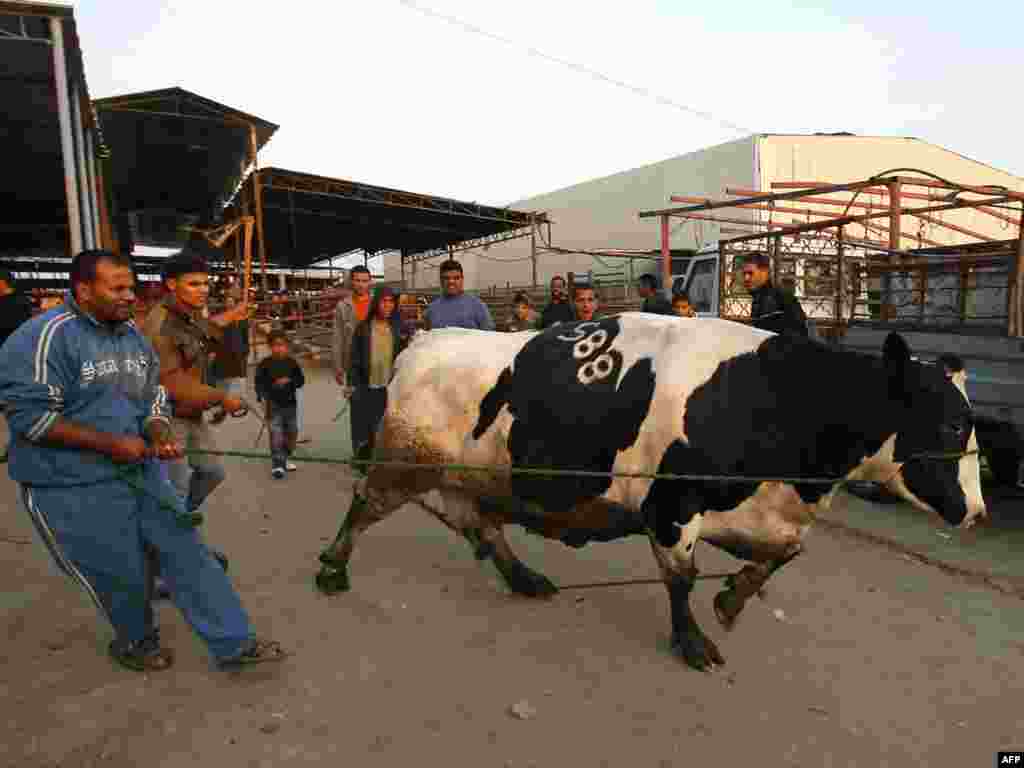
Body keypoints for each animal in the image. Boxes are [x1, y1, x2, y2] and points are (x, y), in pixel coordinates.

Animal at [315, 315, 987, 671]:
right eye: (953, 426)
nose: (977, 512)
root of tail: (429, 338)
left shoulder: (755, 513)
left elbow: (783, 555)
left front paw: (733, 598)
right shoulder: (670, 506)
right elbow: (681, 580)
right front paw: (692, 640)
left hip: (474, 476)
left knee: (481, 525)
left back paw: (524, 577)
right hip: (403, 460)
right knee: (363, 506)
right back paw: (331, 568)